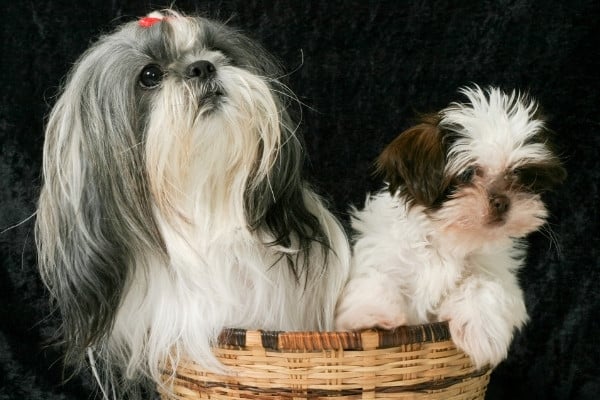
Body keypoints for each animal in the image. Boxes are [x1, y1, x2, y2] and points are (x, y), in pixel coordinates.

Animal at [336, 86, 564, 368]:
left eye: (519, 175)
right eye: (467, 174)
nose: (502, 201)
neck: (446, 239)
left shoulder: (496, 272)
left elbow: (482, 285)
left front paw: (482, 333)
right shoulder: (385, 255)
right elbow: (377, 279)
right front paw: (374, 318)